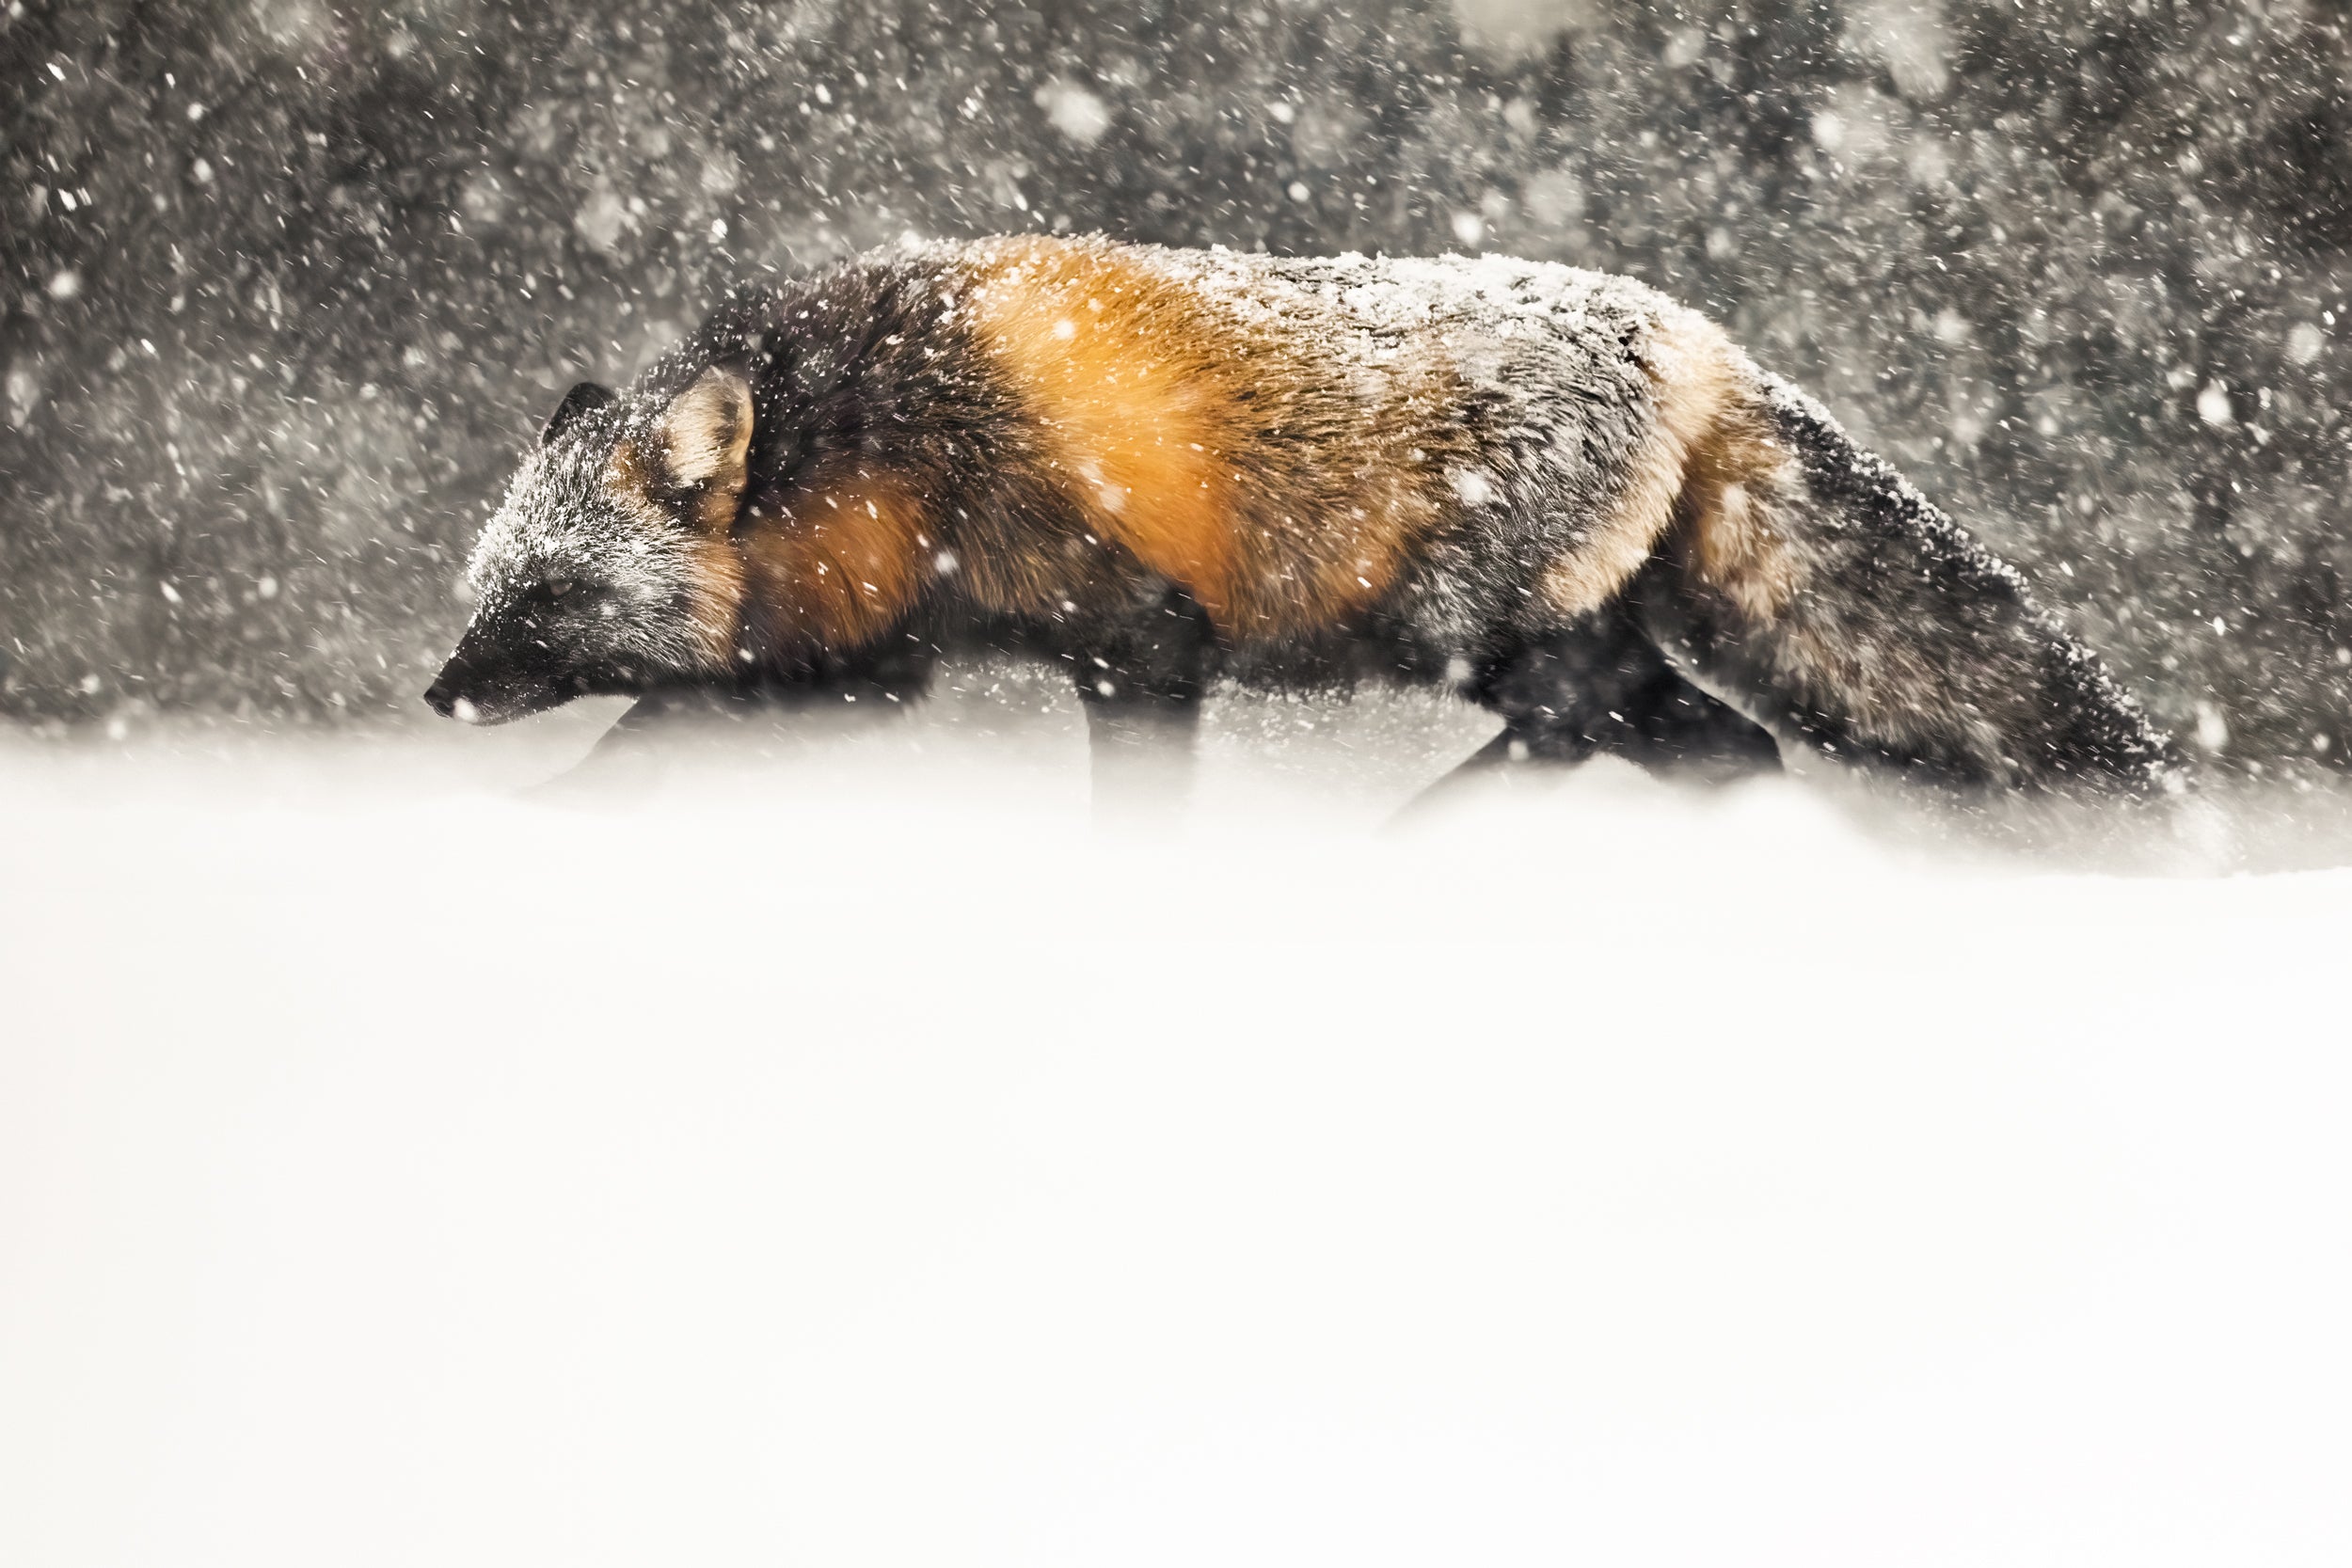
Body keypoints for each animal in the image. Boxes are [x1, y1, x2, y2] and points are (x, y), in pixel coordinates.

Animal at [425, 234, 2174, 800]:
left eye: (548, 596)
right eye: (484, 587)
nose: (436, 694)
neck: (889, 437)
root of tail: (1694, 332)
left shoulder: (1139, 646)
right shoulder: (871, 667)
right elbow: (633, 752)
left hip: (1495, 646)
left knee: (1668, 744)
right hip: (1555, 651)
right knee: (1722, 755)